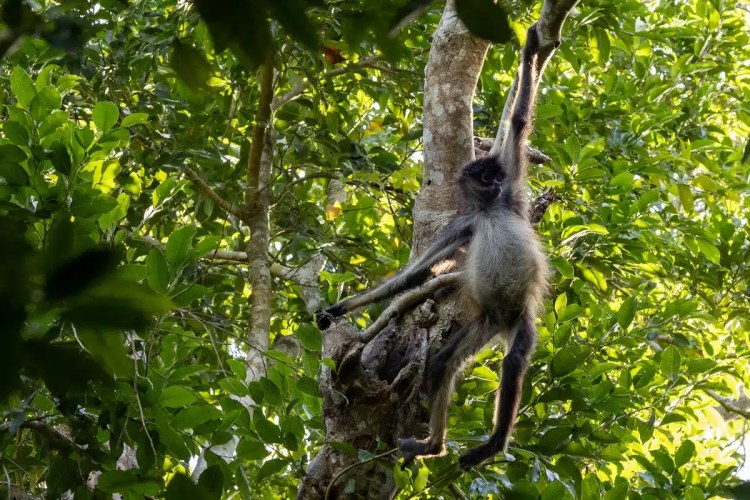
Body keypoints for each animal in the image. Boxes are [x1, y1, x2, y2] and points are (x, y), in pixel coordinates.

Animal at [317, 24, 547, 470]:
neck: (490, 211)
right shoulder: (463, 225)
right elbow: (412, 276)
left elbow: (519, 120)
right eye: (485, 179)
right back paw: (434, 445)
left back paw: (492, 444)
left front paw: (530, 48)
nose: (495, 184)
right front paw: (338, 310)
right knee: (442, 363)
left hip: (521, 319)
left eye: (497, 177)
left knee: (513, 363)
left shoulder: (512, 201)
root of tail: (505, 319)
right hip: (486, 321)